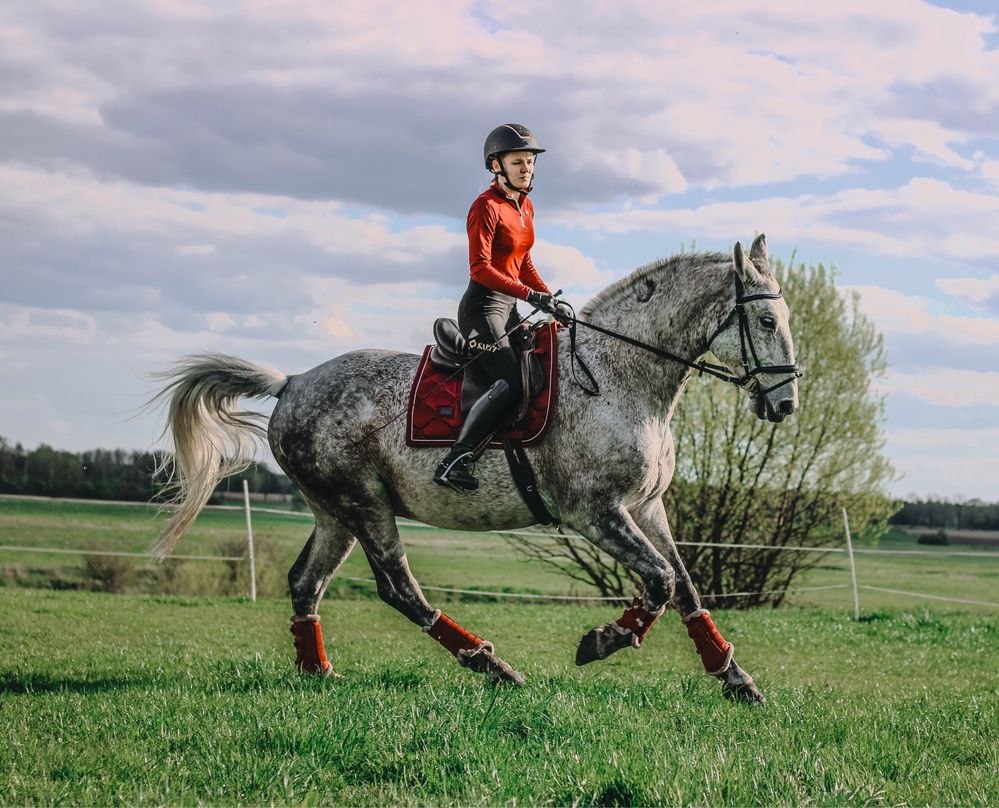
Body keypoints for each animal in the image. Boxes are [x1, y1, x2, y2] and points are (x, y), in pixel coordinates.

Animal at [150, 232, 796, 700]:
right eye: (766, 322)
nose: (785, 403)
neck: (620, 375)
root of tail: (293, 382)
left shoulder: (647, 506)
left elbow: (683, 585)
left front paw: (734, 678)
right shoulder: (594, 512)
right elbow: (659, 581)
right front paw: (601, 641)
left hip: (335, 513)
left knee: (307, 583)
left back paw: (319, 673)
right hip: (366, 504)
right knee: (400, 589)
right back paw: (490, 664)